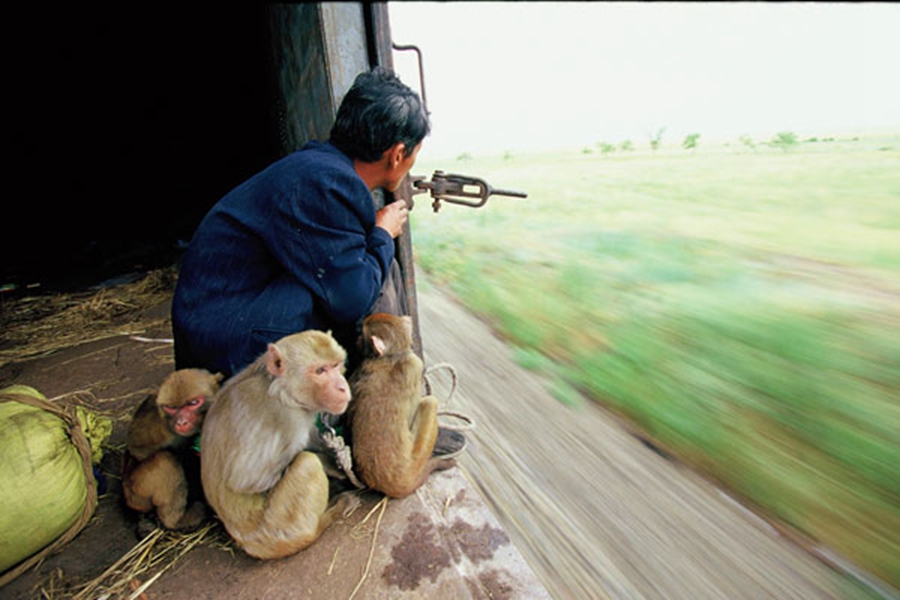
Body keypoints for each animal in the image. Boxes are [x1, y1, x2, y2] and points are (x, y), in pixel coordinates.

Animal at [122, 368, 223, 532]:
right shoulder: (160, 427)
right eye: (172, 408)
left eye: (193, 403)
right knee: (166, 459)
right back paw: (176, 521)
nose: (181, 422)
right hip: (137, 490)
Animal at [200, 330, 359, 560]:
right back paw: (326, 519)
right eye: (320, 371)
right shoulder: (283, 418)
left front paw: (337, 454)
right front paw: (330, 463)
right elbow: (249, 481)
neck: (283, 392)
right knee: (307, 464)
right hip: (279, 528)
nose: (342, 387)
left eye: (336, 365)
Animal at [347, 313, 456, 499]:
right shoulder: (415, 365)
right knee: (429, 402)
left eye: (363, 335)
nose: (357, 339)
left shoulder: (363, 367)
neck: (392, 356)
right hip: (417, 457)